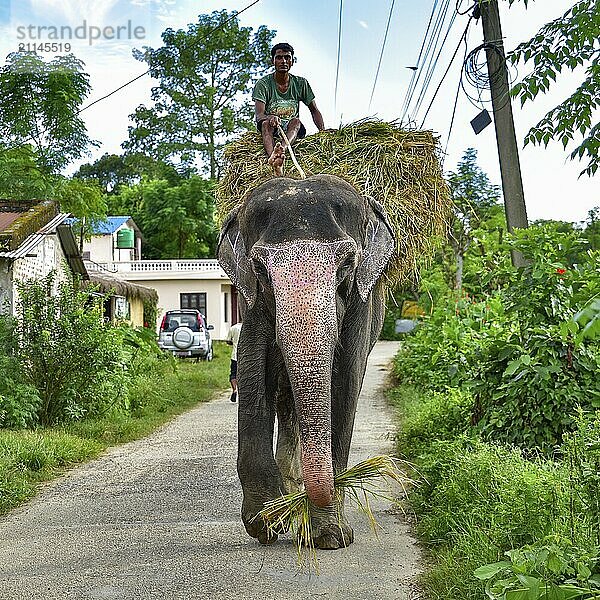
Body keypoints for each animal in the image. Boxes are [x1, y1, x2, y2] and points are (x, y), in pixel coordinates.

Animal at [218, 172, 396, 548]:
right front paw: (265, 523)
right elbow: (254, 371)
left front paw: (331, 536)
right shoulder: (252, 301)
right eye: (259, 268)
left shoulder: (361, 301)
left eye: (347, 264)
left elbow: (345, 383)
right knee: (286, 403)